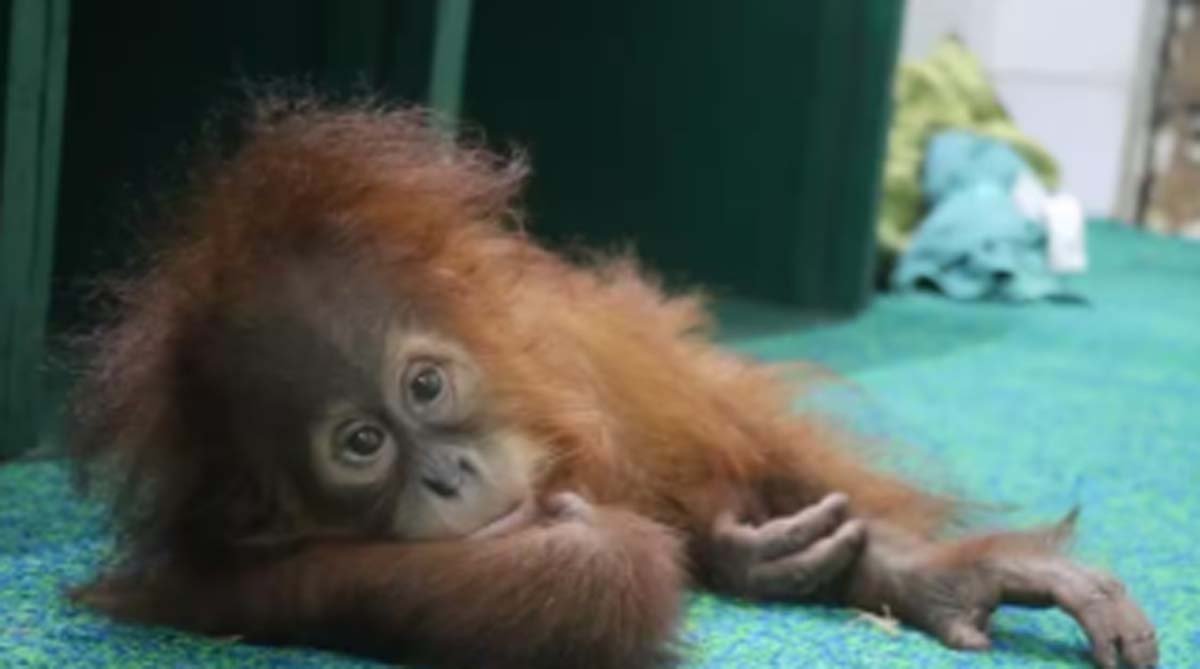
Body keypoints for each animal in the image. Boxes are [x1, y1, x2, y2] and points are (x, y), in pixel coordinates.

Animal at [67, 98, 1158, 669]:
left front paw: (926, 574)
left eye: (424, 389)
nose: (449, 475)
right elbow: (584, 571)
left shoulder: (581, 359)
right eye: (361, 444)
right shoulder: (232, 560)